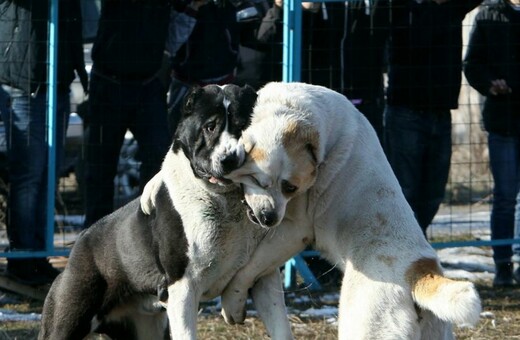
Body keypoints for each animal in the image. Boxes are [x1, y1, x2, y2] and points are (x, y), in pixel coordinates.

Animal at [38, 84, 292, 340]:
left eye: (243, 127)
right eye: (210, 126)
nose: (229, 158)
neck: (225, 204)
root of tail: (78, 245)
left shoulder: (263, 278)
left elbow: (281, 327)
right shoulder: (184, 288)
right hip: (65, 323)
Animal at [219, 82, 480, 340]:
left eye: (290, 187)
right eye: (257, 180)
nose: (268, 218)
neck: (293, 112)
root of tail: (419, 270)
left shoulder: (294, 230)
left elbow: (249, 268)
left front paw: (232, 300)